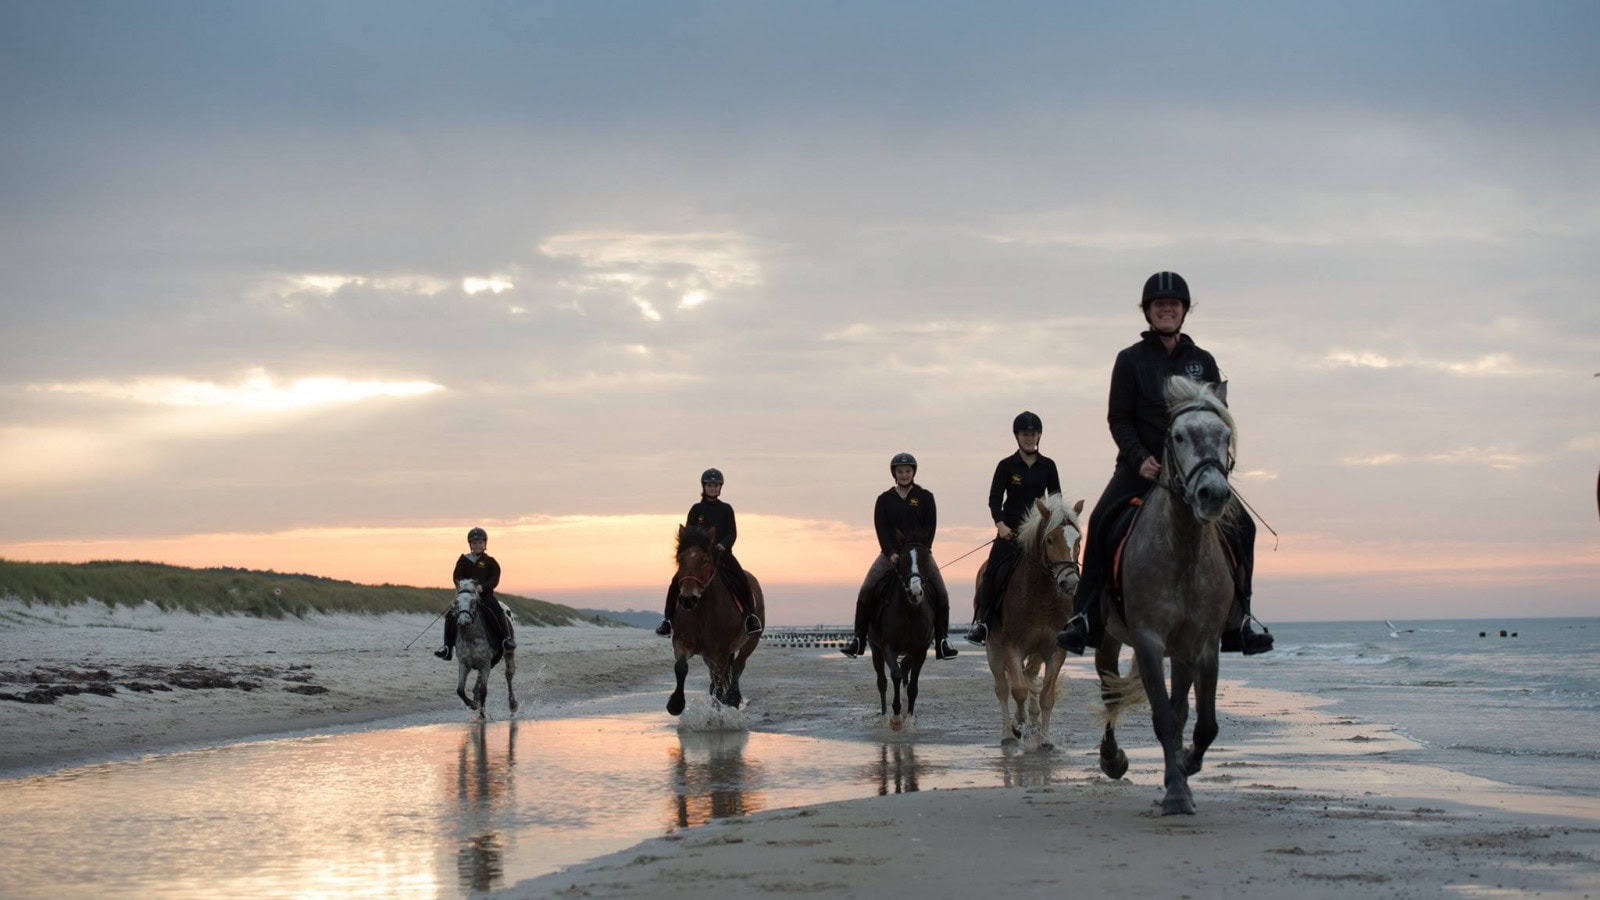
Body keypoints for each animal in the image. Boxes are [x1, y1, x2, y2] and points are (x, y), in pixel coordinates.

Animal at [451, 576, 518, 717]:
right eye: (457, 602)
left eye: (473, 602)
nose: (463, 621)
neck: (471, 637)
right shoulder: (464, 664)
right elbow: (460, 690)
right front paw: (473, 704)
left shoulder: (485, 663)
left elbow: (484, 690)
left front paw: (482, 714)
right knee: (479, 678)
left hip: (508, 653)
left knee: (509, 675)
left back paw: (512, 704)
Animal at [662, 522, 761, 711]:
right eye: (680, 559)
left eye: (705, 560)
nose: (688, 599)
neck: (704, 613)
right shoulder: (681, 643)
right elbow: (681, 667)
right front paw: (676, 704)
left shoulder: (720, 653)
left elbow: (720, 681)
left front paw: (721, 704)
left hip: (750, 642)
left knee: (737, 667)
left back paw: (732, 698)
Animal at [876, 531, 934, 730]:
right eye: (901, 560)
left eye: (926, 560)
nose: (915, 593)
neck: (909, 611)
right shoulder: (887, 647)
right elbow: (894, 675)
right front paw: (895, 715)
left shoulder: (920, 650)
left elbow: (912, 685)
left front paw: (908, 718)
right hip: (875, 650)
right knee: (882, 681)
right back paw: (885, 716)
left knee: (905, 671)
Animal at [972, 490, 1088, 749]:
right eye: (1050, 540)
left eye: (1078, 540)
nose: (1070, 583)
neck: (1041, 597)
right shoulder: (1012, 647)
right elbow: (1018, 690)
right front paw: (1018, 724)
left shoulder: (1055, 649)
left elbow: (1046, 695)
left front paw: (1044, 739)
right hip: (994, 650)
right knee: (1002, 689)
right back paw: (1008, 733)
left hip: (1035, 653)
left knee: (1031, 678)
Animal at [1100, 371, 1248, 813]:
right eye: (1179, 435)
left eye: (1224, 434)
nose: (1212, 495)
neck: (1182, 551)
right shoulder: (1148, 641)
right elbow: (1163, 717)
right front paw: (1177, 794)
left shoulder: (1203, 644)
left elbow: (1203, 723)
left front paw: (1185, 767)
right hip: (1107, 637)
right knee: (1109, 690)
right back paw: (1112, 759)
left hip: (1180, 652)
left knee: (1181, 708)